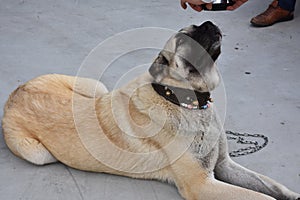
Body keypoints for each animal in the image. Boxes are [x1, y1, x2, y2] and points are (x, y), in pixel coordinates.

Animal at [1, 21, 298, 199]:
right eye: (184, 39)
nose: (210, 22)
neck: (183, 100)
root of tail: (16, 93)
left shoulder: (224, 165)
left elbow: (271, 185)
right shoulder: (202, 184)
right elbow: (262, 196)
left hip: (95, 87)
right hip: (40, 155)